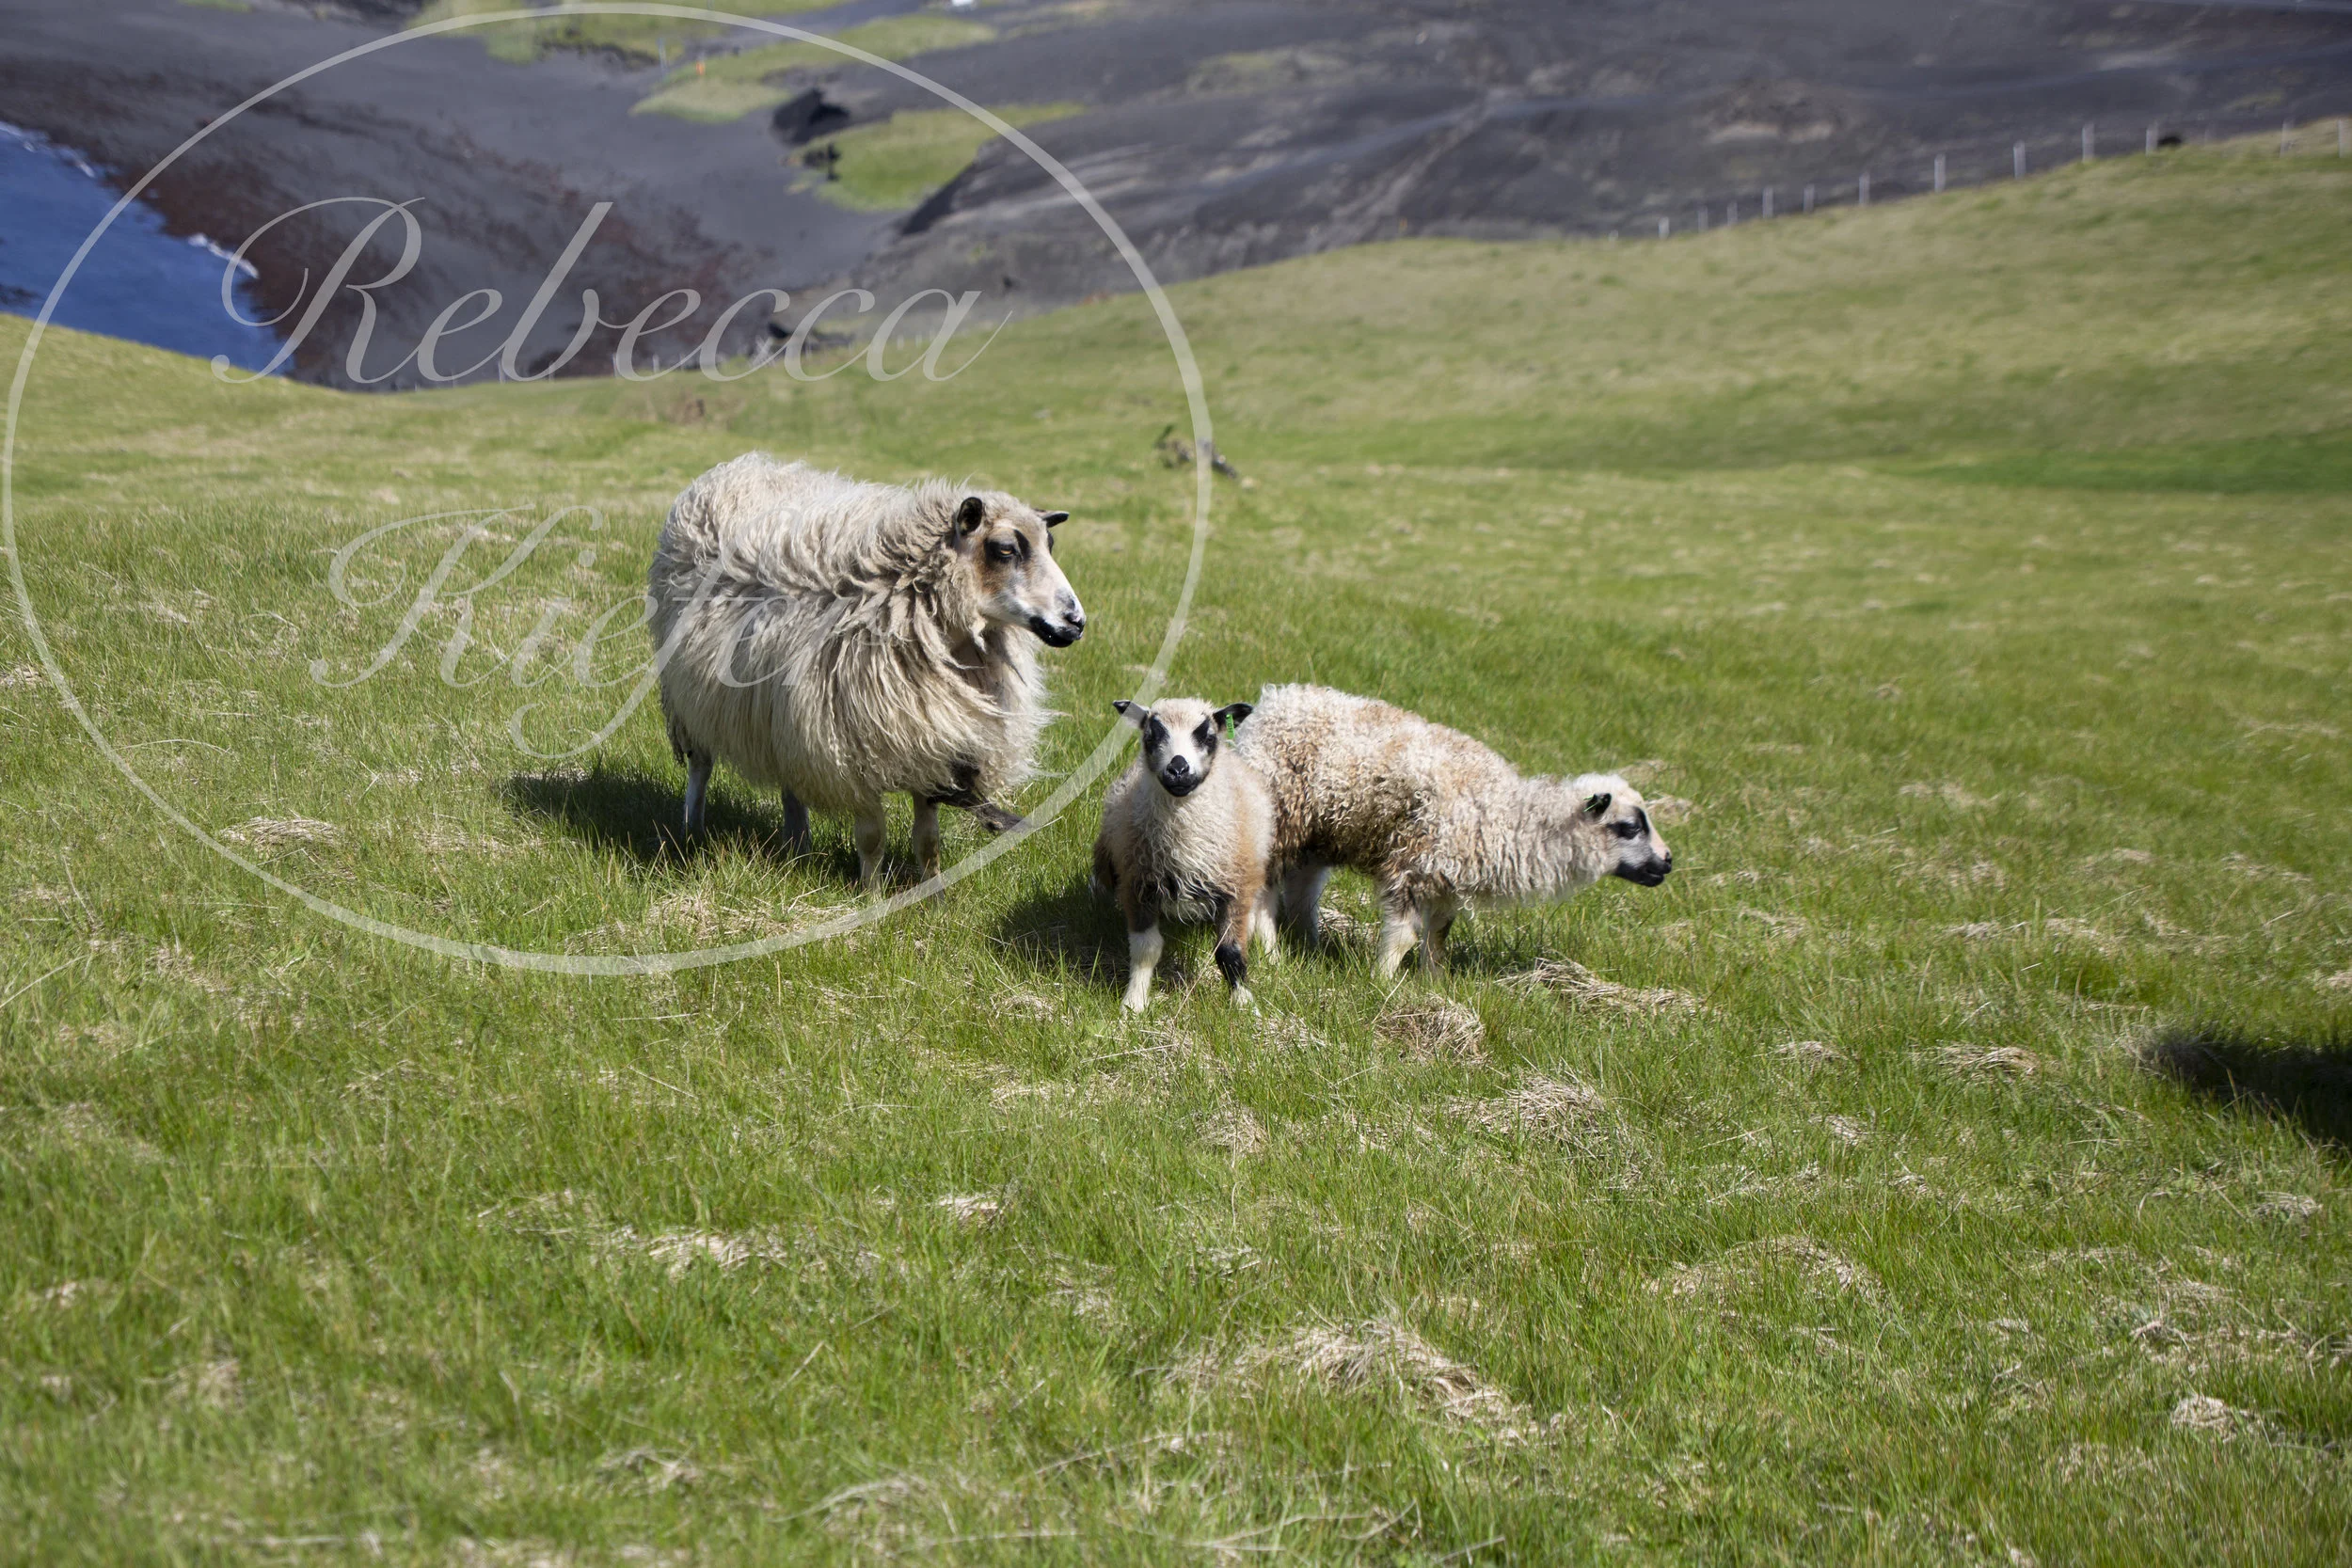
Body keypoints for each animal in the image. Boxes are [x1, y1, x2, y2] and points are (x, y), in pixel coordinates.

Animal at [646, 452, 1086, 884]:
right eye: (1006, 549)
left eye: (1050, 544)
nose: (1076, 621)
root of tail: (736, 468)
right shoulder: (855, 753)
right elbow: (872, 839)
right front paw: (871, 895)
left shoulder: (932, 747)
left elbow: (928, 842)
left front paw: (933, 895)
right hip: (687, 698)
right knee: (700, 765)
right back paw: (693, 832)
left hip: (782, 716)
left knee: (790, 777)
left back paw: (797, 845)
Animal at [1090, 698, 1278, 1011]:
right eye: (1151, 735)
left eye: (1208, 736)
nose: (1178, 768)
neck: (1185, 843)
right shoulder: (1138, 885)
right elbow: (1146, 949)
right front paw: (1134, 1003)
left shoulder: (1236, 885)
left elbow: (1230, 952)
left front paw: (1244, 1003)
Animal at [1231, 684, 1673, 976]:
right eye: (1629, 827)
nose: (1667, 862)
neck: (1504, 816)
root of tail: (1270, 704)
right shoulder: (1412, 864)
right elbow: (1405, 935)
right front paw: (1382, 981)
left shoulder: (1446, 878)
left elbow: (1439, 935)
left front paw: (1434, 982)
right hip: (1281, 818)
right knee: (1264, 889)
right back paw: (1272, 953)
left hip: (1317, 836)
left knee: (1301, 892)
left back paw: (1308, 947)